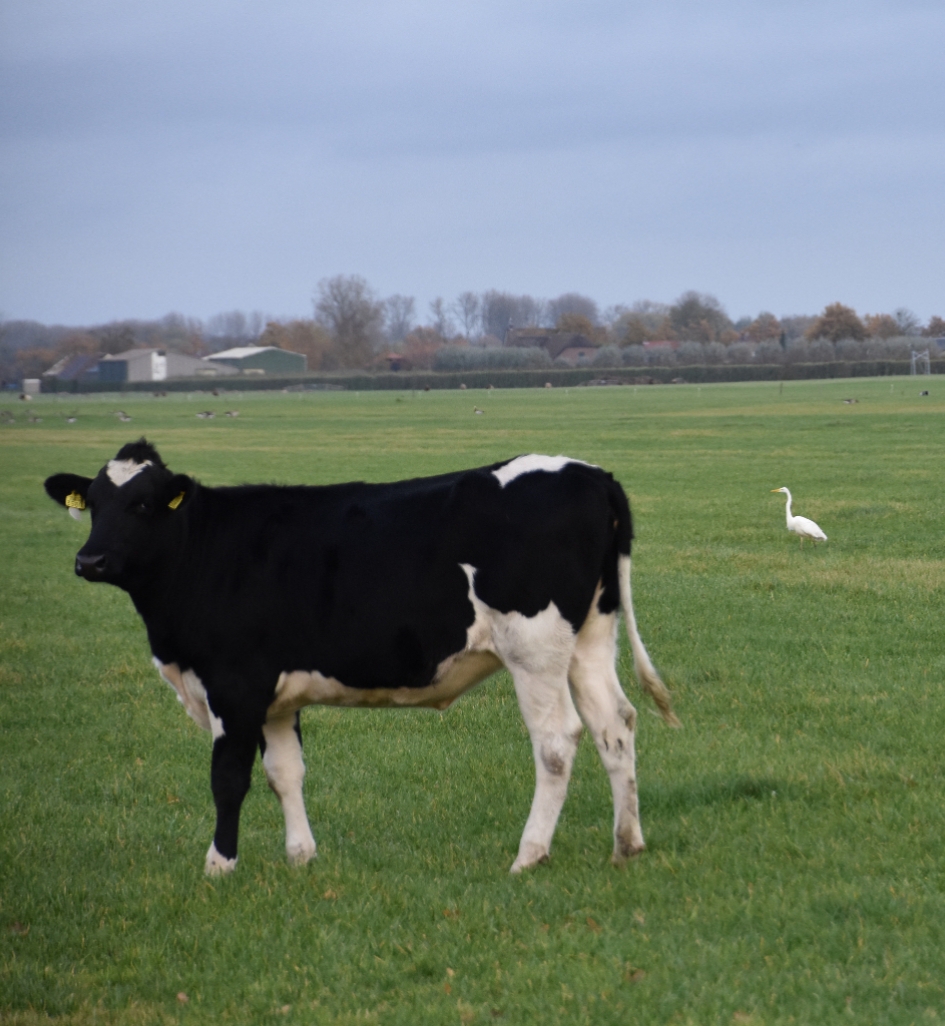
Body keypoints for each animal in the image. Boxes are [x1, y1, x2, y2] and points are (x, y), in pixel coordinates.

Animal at [44, 441, 679, 875]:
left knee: (556, 741)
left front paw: (219, 865)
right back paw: (627, 844)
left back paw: (530, 853)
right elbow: (285, 773)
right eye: (92, 504)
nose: (89, 560)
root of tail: (590, 473)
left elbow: (228, 777)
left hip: (535, 648)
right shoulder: (277, 697)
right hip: (591, 635)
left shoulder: (233, 686)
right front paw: (301, 857)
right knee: (614, 724)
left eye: (143, 504)